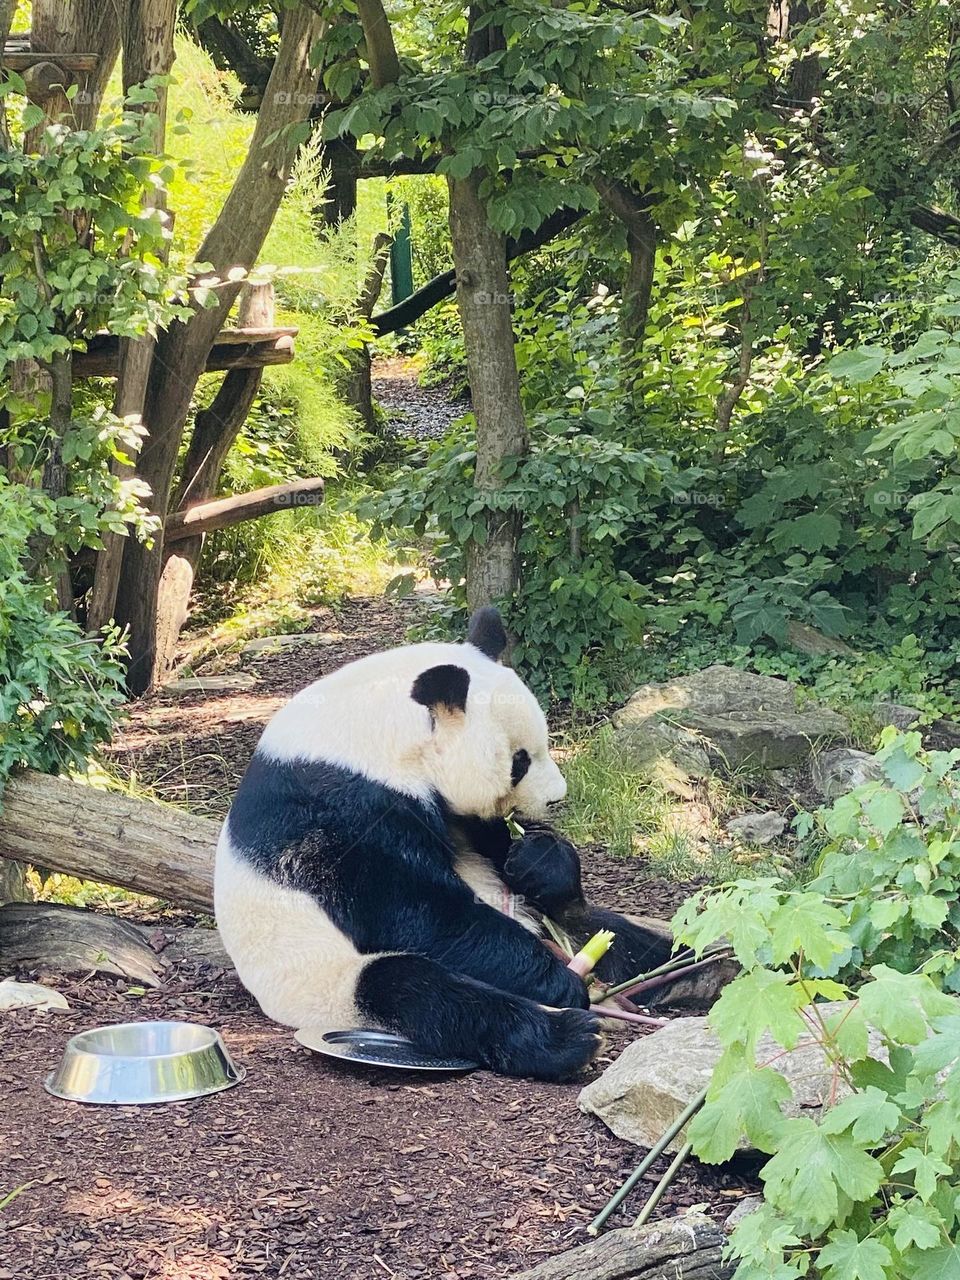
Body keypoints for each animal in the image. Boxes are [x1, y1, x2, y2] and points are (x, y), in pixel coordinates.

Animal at [214, 607, 671, 1081]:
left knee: (614, 934)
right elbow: (418, 911)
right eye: (519, 761)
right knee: (419, 991)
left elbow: (495, 844)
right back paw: (569, 1034)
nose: (556, 798)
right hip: (324, 982)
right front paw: (556, 982)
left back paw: (685, 974)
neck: (379, 731)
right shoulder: (341, 809)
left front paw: (538, 859)